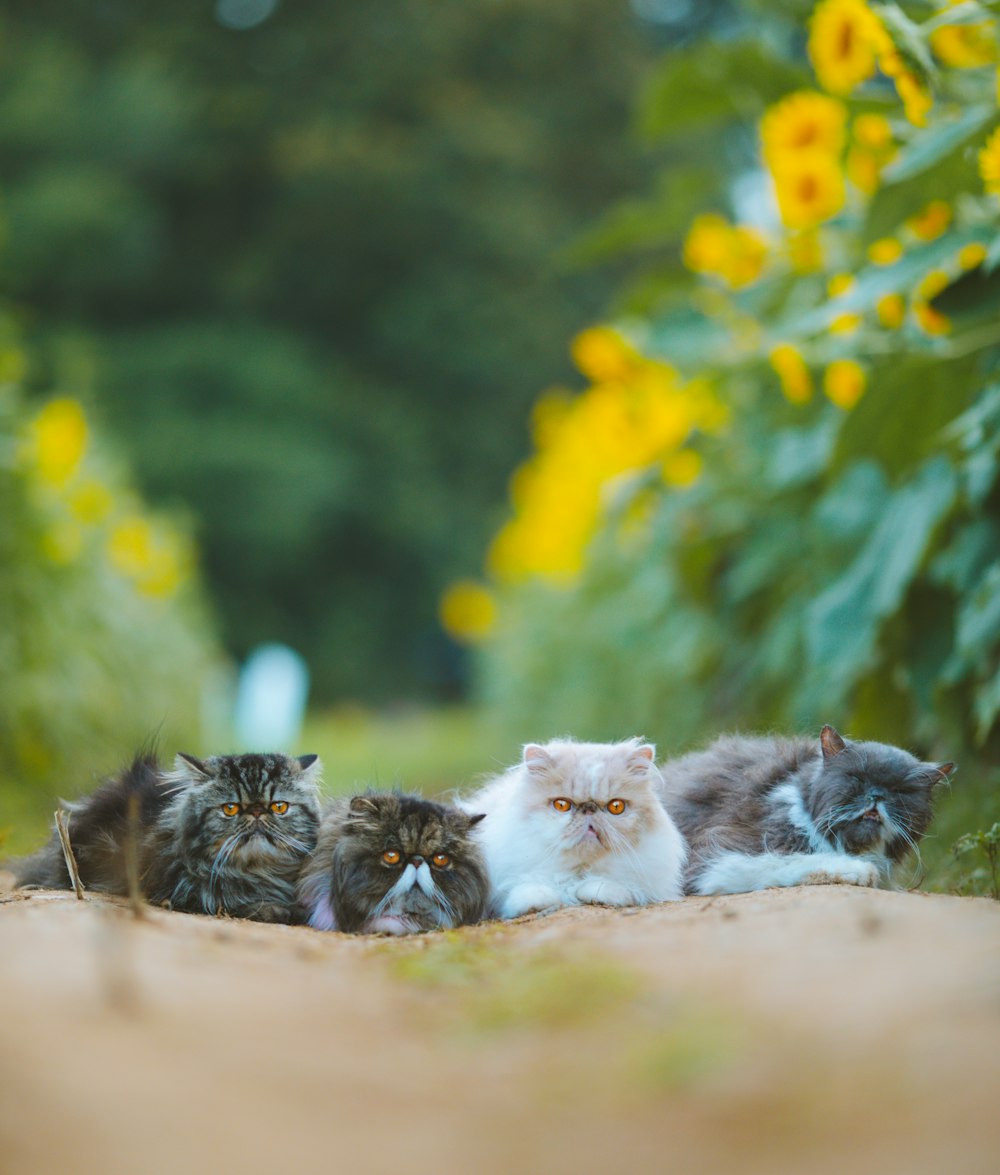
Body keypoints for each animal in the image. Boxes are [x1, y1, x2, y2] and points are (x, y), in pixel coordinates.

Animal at [13, 747, 321, 921]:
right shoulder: (180, 891)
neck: (257, 871)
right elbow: (233, 901)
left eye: (279, 807)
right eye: (230, 809)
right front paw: (276, 909)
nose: (256, 813)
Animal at [462, 733, 686, 916]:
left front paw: (592, 891)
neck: (578, 871)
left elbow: (610, 886)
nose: (589, 808)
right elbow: (529, 889)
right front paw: (538, 901)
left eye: (616, 806)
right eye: (562, 805)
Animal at [662, 719, 958, 892]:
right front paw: (860, 871)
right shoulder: (715, 858)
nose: (876, 795)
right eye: (857, 778)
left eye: (900, 791)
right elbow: (792, 860)